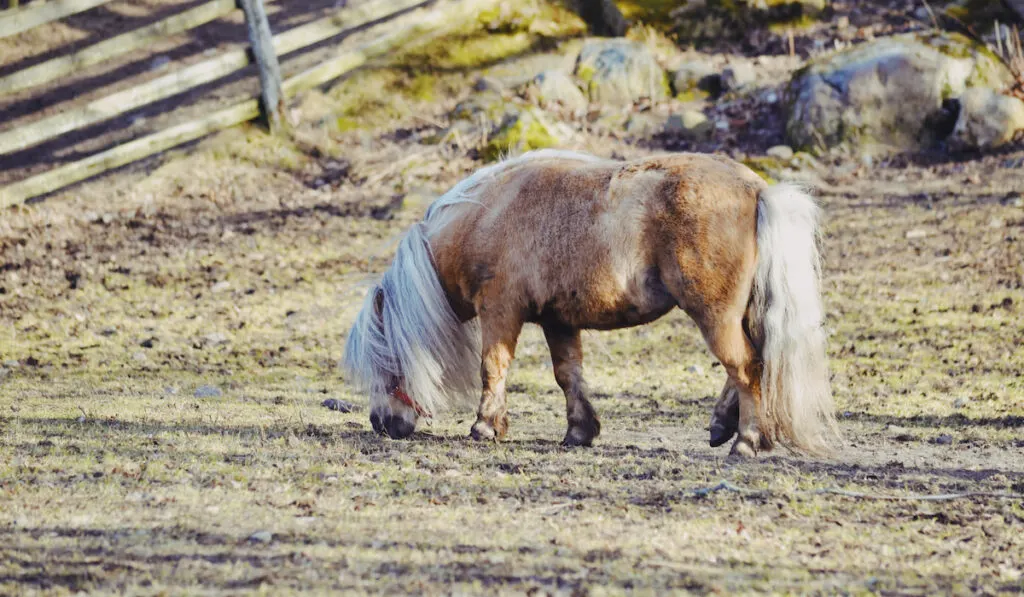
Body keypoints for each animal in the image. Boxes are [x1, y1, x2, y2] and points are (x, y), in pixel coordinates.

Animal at [344, 149, 839, 458]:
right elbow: (568, 375)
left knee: (746, 368)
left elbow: (493, 367)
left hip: (714, 314)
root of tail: (758, 190)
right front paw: (580, 430)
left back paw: (747, 440)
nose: (381, 423)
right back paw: (723, 425)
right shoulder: (557, 321)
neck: (487, 216)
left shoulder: (500, 311)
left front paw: (485, 426)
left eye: (386, 362)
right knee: (748, 364)